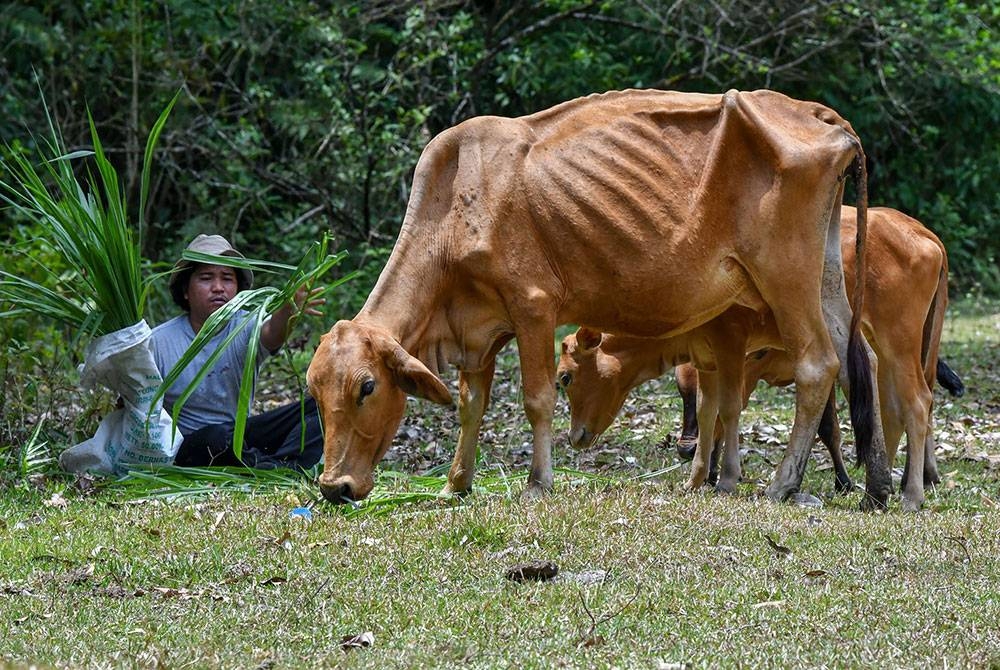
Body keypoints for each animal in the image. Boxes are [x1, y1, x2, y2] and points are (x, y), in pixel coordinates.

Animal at [306, 90, 892, 510]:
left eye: (366, 387)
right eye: (313, 392)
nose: (334, 487)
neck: (453, 205)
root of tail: (816, 113)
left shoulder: (532, 305)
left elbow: (536, 397)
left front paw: (538, 481)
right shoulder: (478, 327)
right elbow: (472, 405)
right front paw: (456, 483)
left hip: (784, 276)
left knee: (819, 364)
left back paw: (784, 484)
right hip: (825, 277)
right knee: (857, 363)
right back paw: (878, 485)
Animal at [560, 207, 948, 512]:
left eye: (564, 377)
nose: (575, 436)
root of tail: (923, 235)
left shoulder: (732, 345)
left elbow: (730, 410)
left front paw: (727, 478)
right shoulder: (706, 360)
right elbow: (708, 412)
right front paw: (696, 478)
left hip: (898, 341)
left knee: (919, 402)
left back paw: (911, 493)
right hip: (883, 347)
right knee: (891, 409)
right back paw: (880, 486)